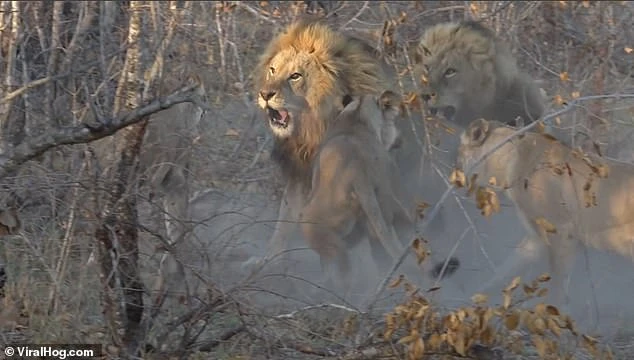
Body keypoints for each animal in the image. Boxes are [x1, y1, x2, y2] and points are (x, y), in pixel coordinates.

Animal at [456, 119, 632, 306]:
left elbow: (557, 285)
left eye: (459, 159)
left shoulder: (561, 232)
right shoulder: (537, 237)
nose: (455, 180)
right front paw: (475, 296)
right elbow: (506, 269)